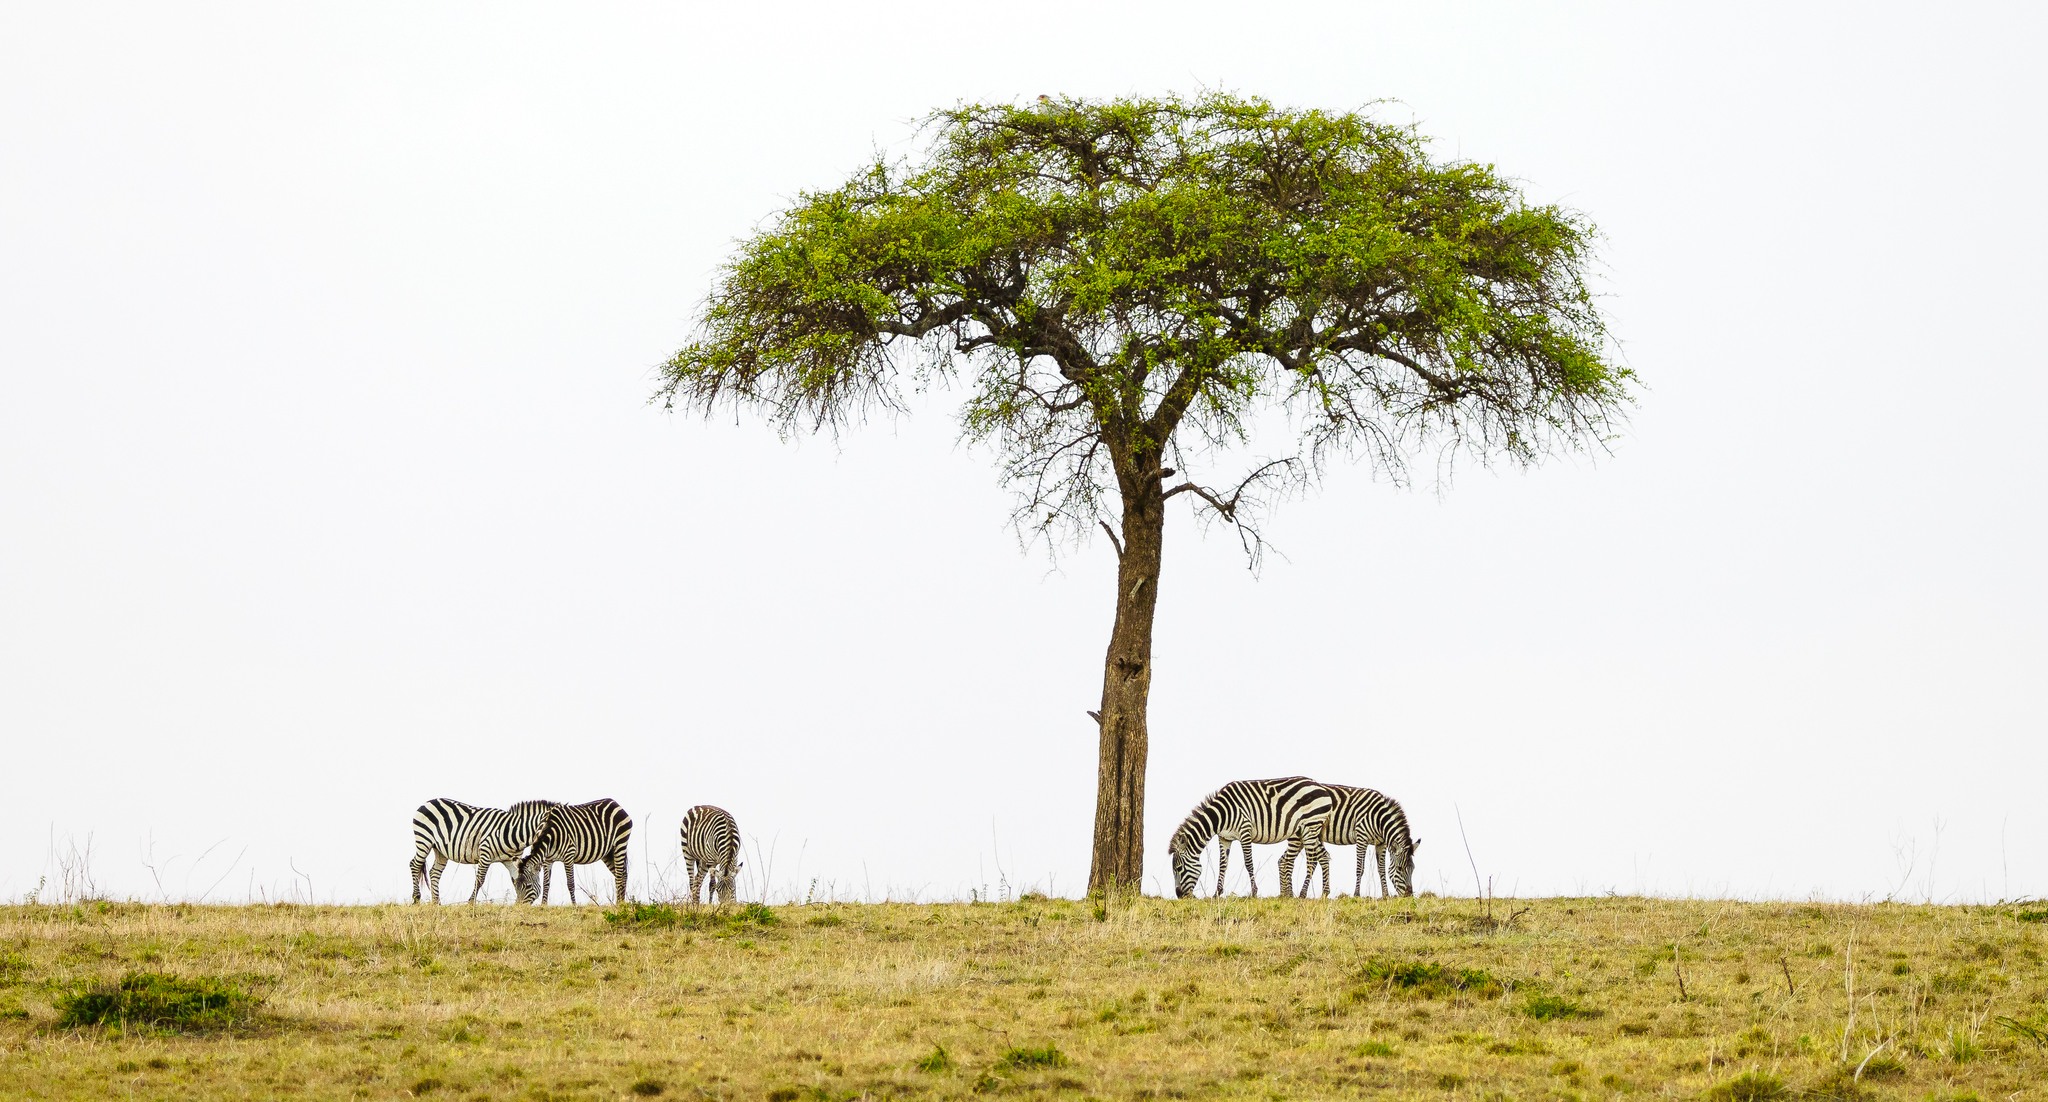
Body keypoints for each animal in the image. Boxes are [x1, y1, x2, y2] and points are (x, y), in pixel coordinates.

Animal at [409, 797, 555, 904]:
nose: (522, 906)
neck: (514, 831)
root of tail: (429, 802)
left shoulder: (509, 860)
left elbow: (515, 879)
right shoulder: (486, 853)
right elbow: (480, 879)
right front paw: (471, 902)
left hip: (440, 850)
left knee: (434, 872)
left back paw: (436, 903)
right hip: (424, 840)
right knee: (415, 864)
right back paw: (416, 899)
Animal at [1168, 777, 1337, 899]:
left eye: (1178, 869)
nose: (1179, 896)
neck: (1221, 815)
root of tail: (1320, 787)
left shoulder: (1245, 830)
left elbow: (1248, 863)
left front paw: (1254, 892)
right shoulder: (1224, 838)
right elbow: (1223, 865)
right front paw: (1217, 893)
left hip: (1310, 826)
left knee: (1312, 860)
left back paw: (1302, 894)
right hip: (1307, 830)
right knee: (1321, 856)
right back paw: (1322, 893)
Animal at [1282, 784, 1422, 898]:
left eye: (1413, 869)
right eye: (1399, 868)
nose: (1409, 895)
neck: (1379, 819)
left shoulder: (1381, 844)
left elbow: (1381, 869)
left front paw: (1385, 895)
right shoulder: (1361, 838)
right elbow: (1360, 868)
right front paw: (1356, 894)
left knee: (1282, 860)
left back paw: (1284, 895)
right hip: (1298, 834)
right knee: (1288, 860)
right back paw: (1289, 895)